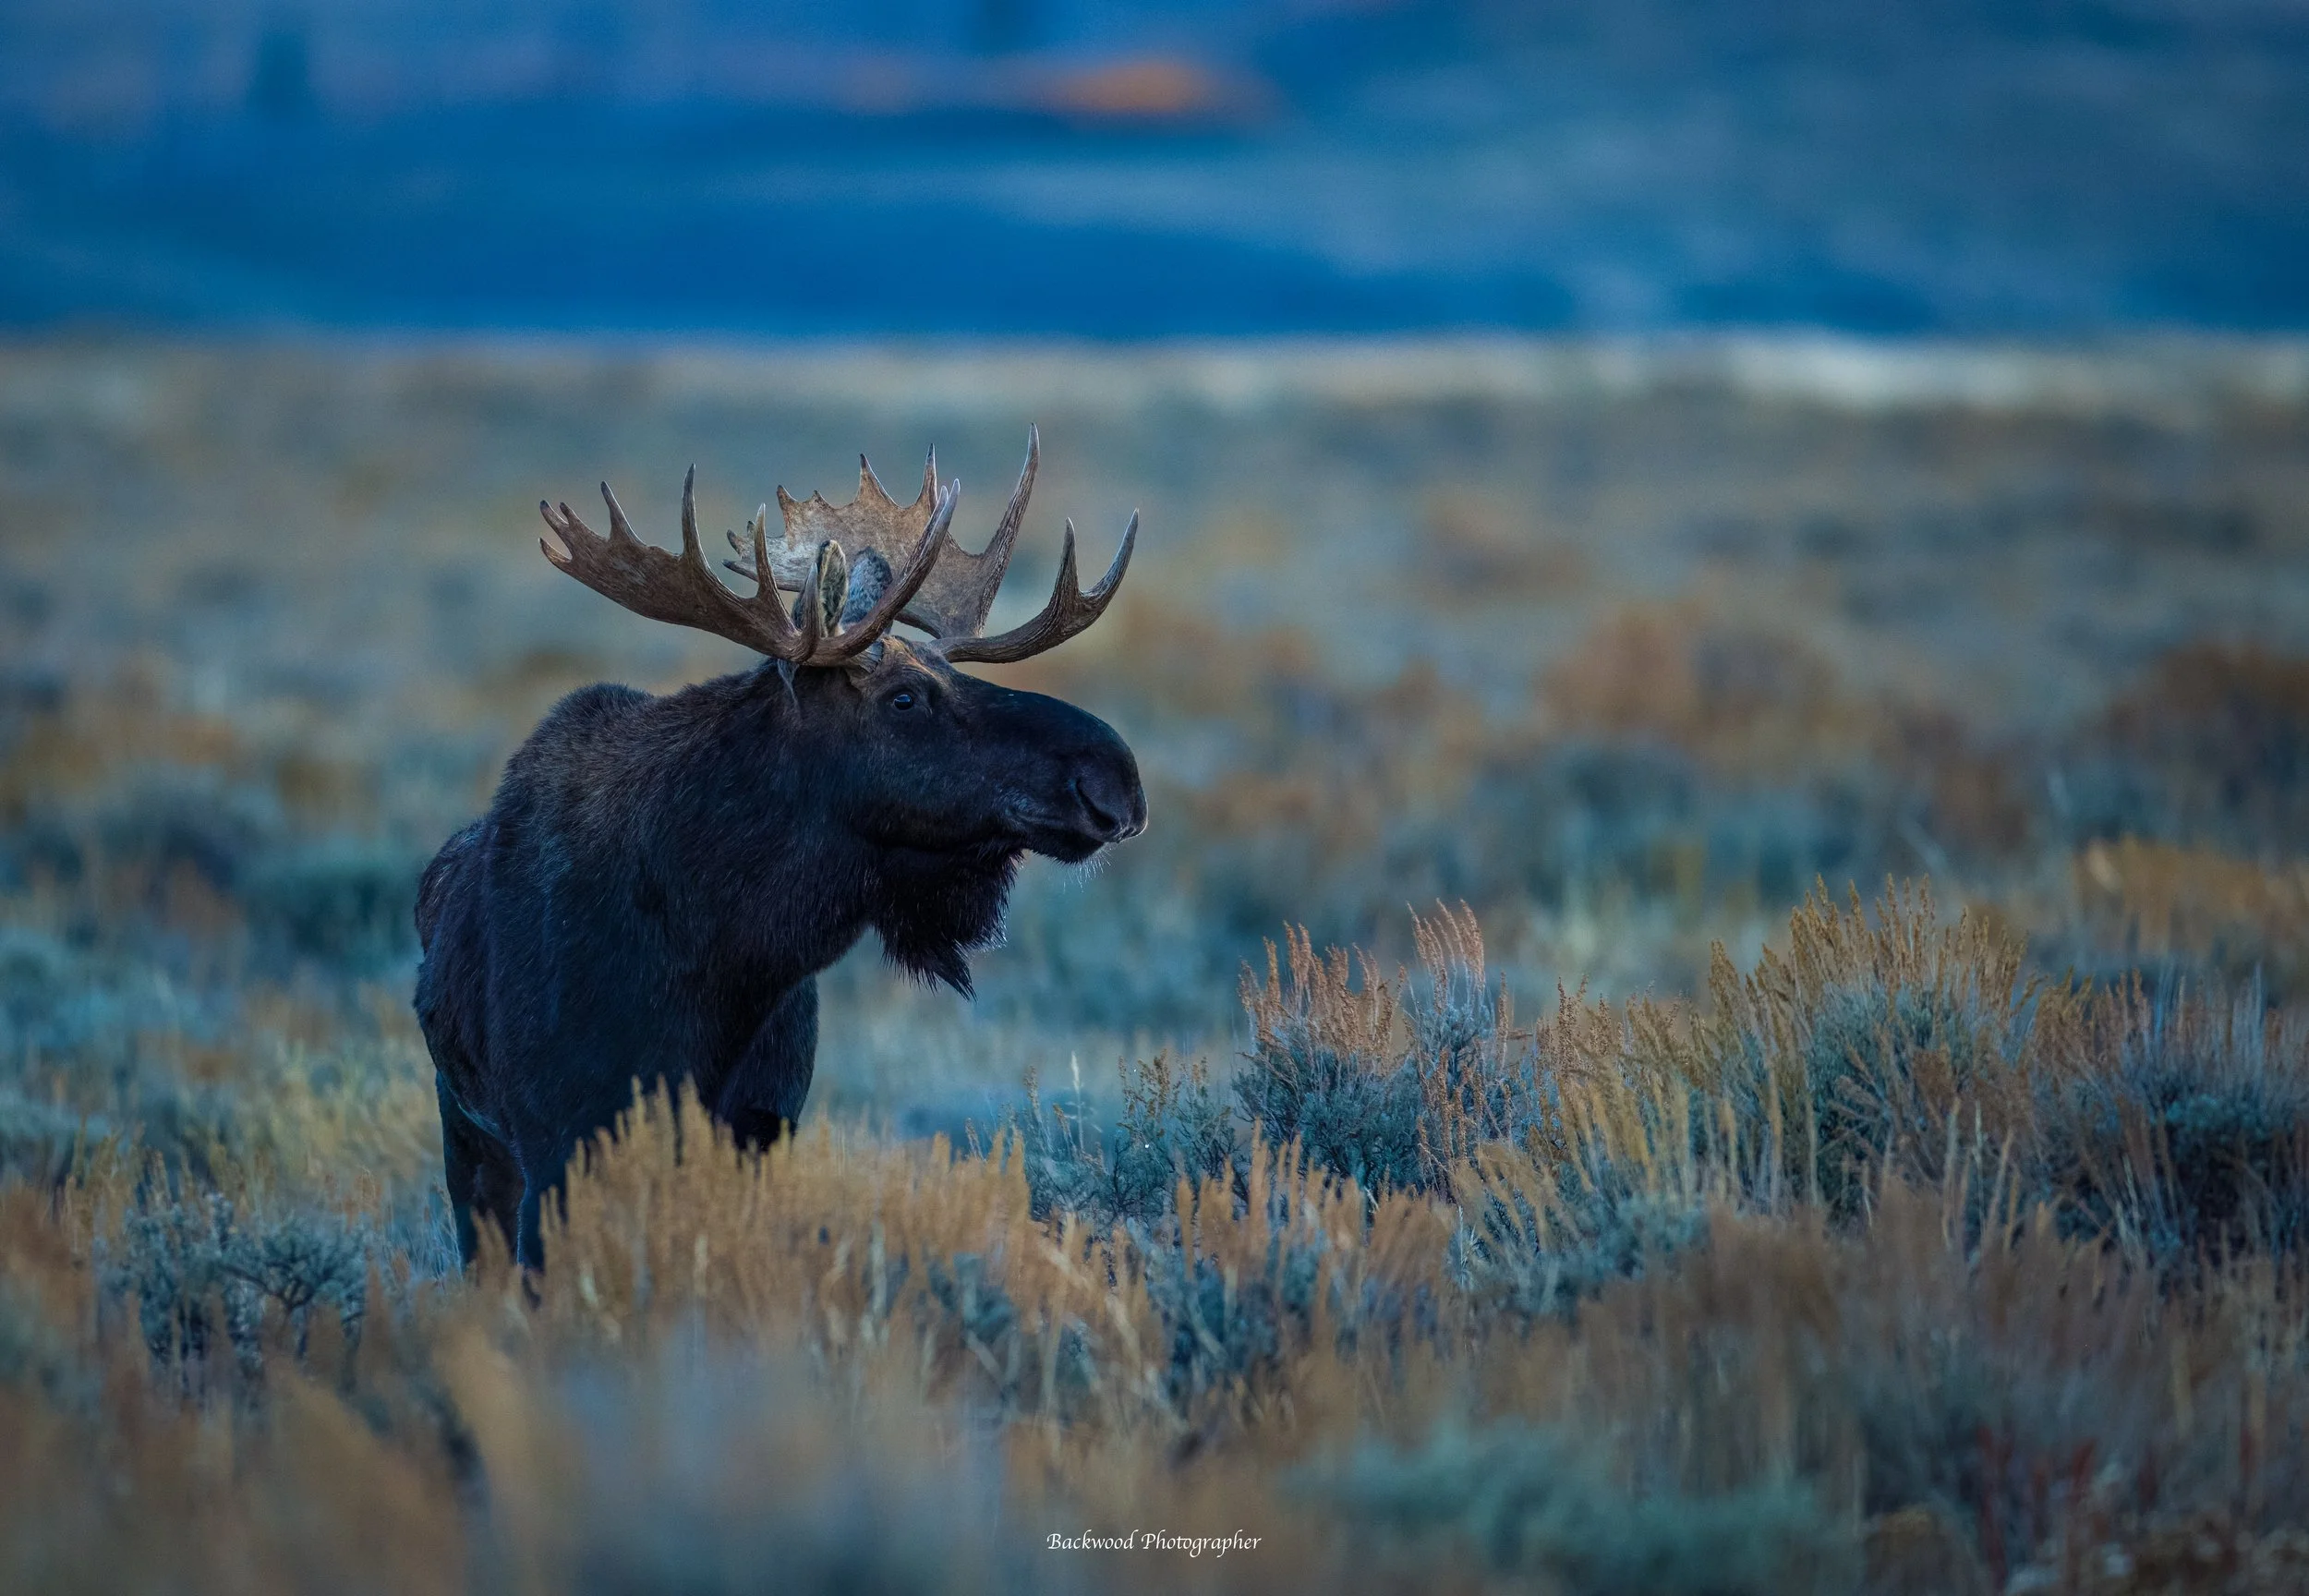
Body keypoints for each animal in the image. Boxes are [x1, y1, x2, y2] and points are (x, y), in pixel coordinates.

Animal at [413, 431, 1143, 1269]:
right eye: (904, 699)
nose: (1115, 778)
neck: (720, 955)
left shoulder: (759, 1129)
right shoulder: (556, 1143)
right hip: (468, 1136)